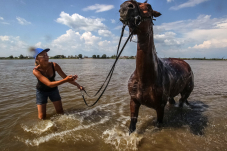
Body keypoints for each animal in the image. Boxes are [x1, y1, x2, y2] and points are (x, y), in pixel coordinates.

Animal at [119, 0, 193, 134]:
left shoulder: (160, 107)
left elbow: (159, 124)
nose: (126, 6)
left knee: (181, 103)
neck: (146, 78)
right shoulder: (134, 102)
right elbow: (132, 125)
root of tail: (186, 64)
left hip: (186, 93)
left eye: (149, 7)